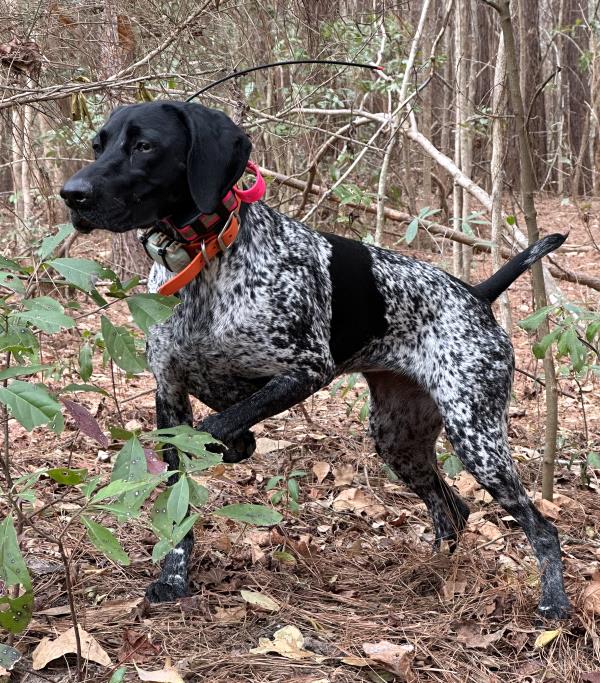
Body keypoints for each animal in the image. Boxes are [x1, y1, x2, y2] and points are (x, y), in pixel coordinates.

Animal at [61, 101, 572, 620]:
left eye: (145, 145)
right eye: (99, 145)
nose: (71, 195)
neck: (205, 261)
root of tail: (476, 293)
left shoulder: (305, 369)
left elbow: (218, 426)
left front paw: (230, 444)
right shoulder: (169, 394)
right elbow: (180, 495)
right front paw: (173, 578)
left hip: (477, 437)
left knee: (542, 529)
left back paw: (553, 602)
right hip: (397, 438)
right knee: (453, 509)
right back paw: (434, 573)